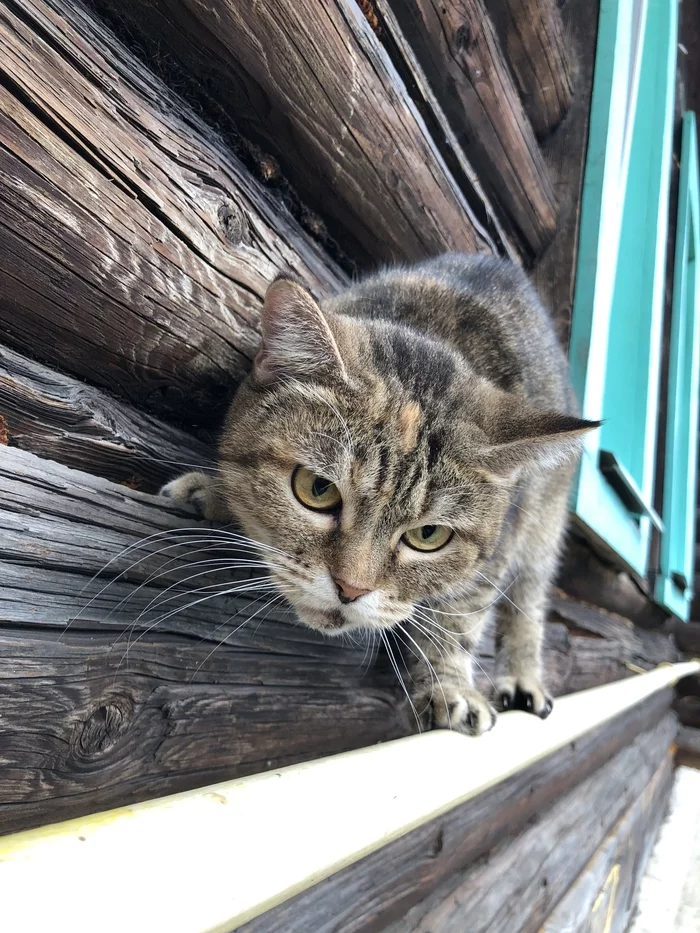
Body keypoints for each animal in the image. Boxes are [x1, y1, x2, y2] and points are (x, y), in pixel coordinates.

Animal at [163, 255, 596, 736]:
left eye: (429, 535)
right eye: (317, 489)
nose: (350, 590)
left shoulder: (498, 550)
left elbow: (459, 619)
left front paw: (449, 685)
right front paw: (213, 493)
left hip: (543, 528)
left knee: (529, 602)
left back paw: (523, 676)